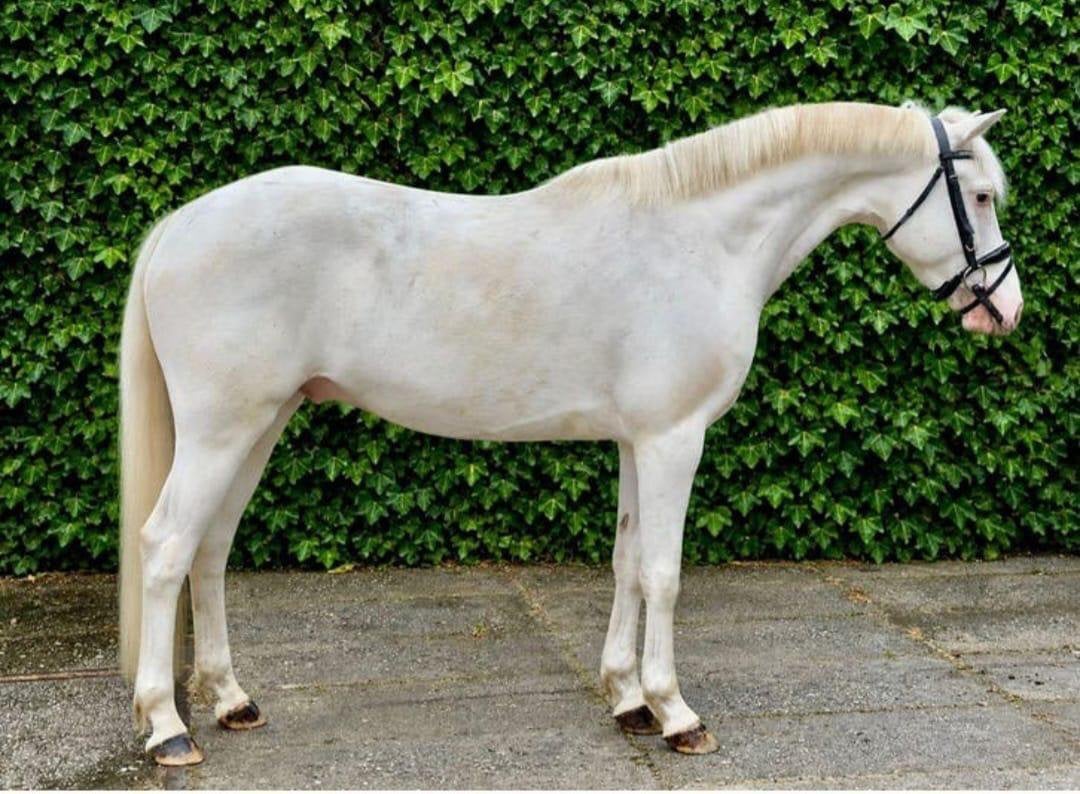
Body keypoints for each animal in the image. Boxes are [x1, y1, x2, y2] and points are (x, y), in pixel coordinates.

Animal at [117, 101, 1022, 765]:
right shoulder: (673, 439)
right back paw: (168, 728)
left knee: (209, 550)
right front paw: (676, 712)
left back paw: (231, 701)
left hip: (261, 423)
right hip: (223, 429)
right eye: (980, 198)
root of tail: (178, 225)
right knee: (166, 546)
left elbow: (625, 563)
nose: (1005, 311)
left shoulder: (635, 441)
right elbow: (664, 573)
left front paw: (626, 699)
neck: (702, 239)